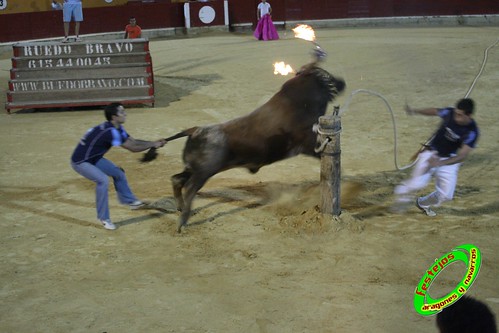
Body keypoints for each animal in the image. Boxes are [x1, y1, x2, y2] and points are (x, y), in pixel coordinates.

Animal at [146, 63, 346, 232]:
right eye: (326, 77)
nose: (342, 82)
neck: (298, 101)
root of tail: (195, 130)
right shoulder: (308, 144)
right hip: (203, 172)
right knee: (189, 188)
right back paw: (183, 221)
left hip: (193, 169)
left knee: (176, 179)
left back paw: (180, 209)